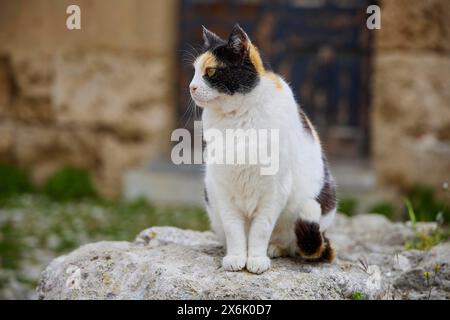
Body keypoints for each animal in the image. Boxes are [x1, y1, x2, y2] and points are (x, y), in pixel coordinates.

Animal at [188, 25, 336, 276]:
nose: (191, 87)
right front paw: (236, 258)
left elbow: (260, 230)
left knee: (293, 242)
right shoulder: (223, 188)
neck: (238, 118)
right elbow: (234, 229)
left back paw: (274, 248)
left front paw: (256, 259)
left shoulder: (274, 191)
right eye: (195, 72)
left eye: (210, 71)